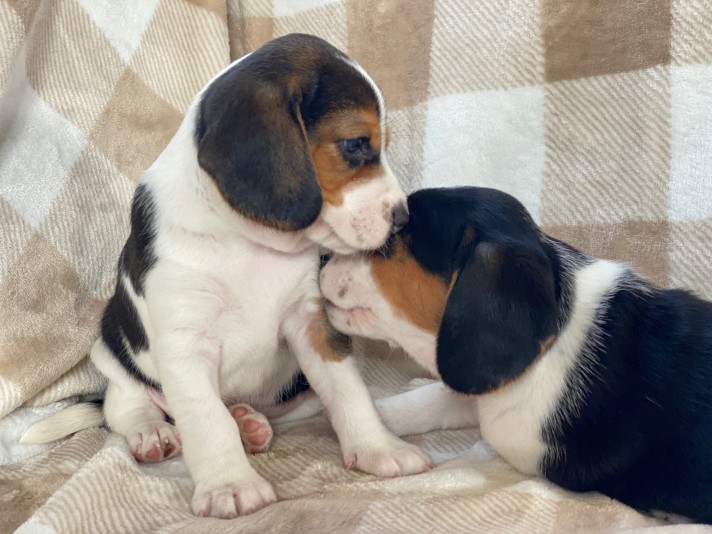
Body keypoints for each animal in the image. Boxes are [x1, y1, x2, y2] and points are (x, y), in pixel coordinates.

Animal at [25, 33, 432, 520]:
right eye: (354, 144)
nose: (403, 218)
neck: (247, 242)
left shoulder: (311, 323)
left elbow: (349, 393)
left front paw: (379, 449)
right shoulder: (185, 347)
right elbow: (206, 419)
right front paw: (229, 485)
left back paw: (248, 423)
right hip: (110, 347)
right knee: (123, 406)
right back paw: (153, 433)